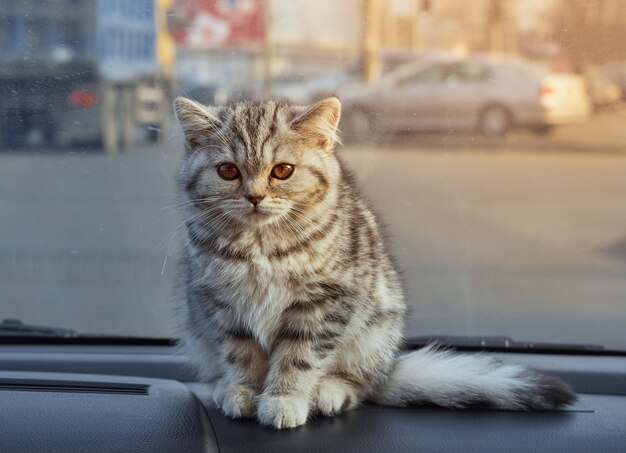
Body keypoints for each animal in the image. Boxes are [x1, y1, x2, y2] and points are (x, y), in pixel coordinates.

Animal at [173, 95, 572, 428]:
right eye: (228, 171)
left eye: (282, 171)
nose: (254, 197)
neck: (260, 246)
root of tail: (389, 364)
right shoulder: (219, 303)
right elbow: (240, 353)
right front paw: (244, 390)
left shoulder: (324, 303)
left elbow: (298, 356)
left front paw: (284, 399)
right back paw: (225, 386)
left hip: (374, 331)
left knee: (361, 385)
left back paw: (330, 391)